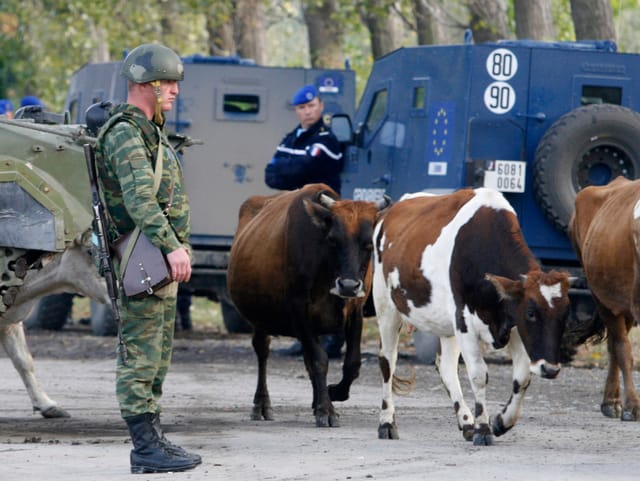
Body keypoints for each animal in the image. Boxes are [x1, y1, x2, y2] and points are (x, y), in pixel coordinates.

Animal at [228, 182, 388, 426]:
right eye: (332, 239)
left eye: (369, 244)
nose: (348, 285)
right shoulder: (300, 310)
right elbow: (319, 360)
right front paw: (326, 409)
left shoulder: (355, 310)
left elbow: (352, 364)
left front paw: (331, 394)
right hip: (261, 320)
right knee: (263, 351)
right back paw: (262, 404)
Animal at [372, 189, 572, 444]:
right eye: (531, 313)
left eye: (565, 314)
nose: (551, 369)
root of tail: (392, 208)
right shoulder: (465, 321)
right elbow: (478, 374)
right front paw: (483, 429)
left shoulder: (513, 325)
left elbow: (522, 376)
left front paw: (501, 421)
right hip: (386, 307)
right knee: (387, 362)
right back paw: (386, 423)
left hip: (446, 325)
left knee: (446, 367)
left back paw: (466, 421)